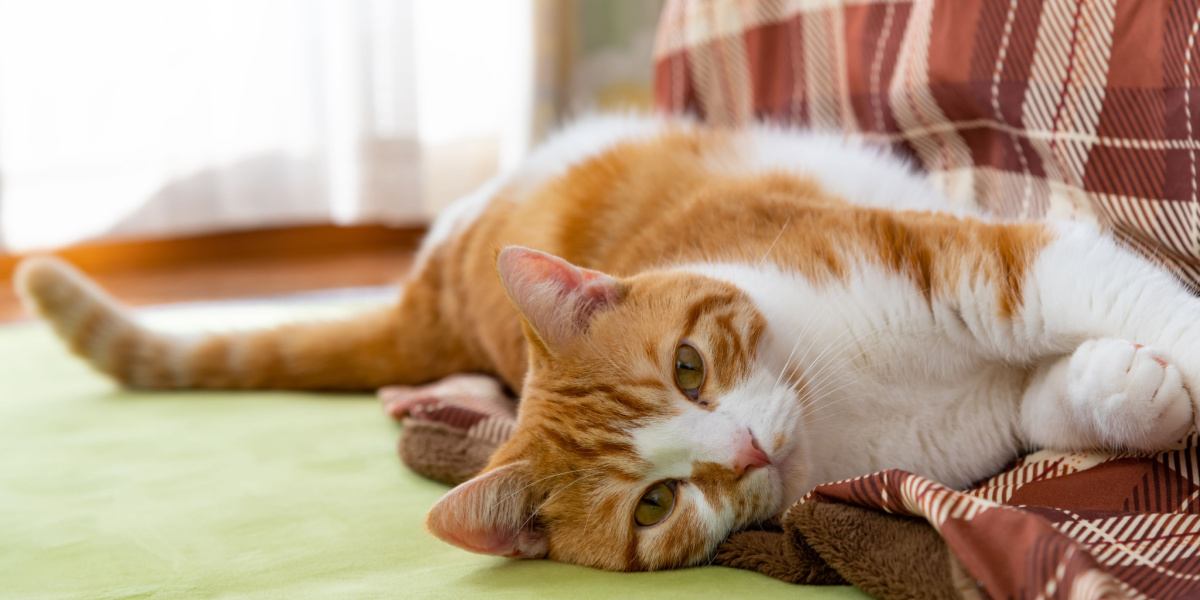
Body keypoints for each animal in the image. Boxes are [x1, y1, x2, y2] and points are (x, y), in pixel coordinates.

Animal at [16, 113, 1200, 571]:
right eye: (656, 503)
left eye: (689, 367)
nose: (746, 454)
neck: (843, 399)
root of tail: (431, 301)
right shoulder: (962, 421)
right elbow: (1046, 395)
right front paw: (1136, 391)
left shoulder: (966, 266)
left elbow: (1097, 291)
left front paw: (1151, 360)